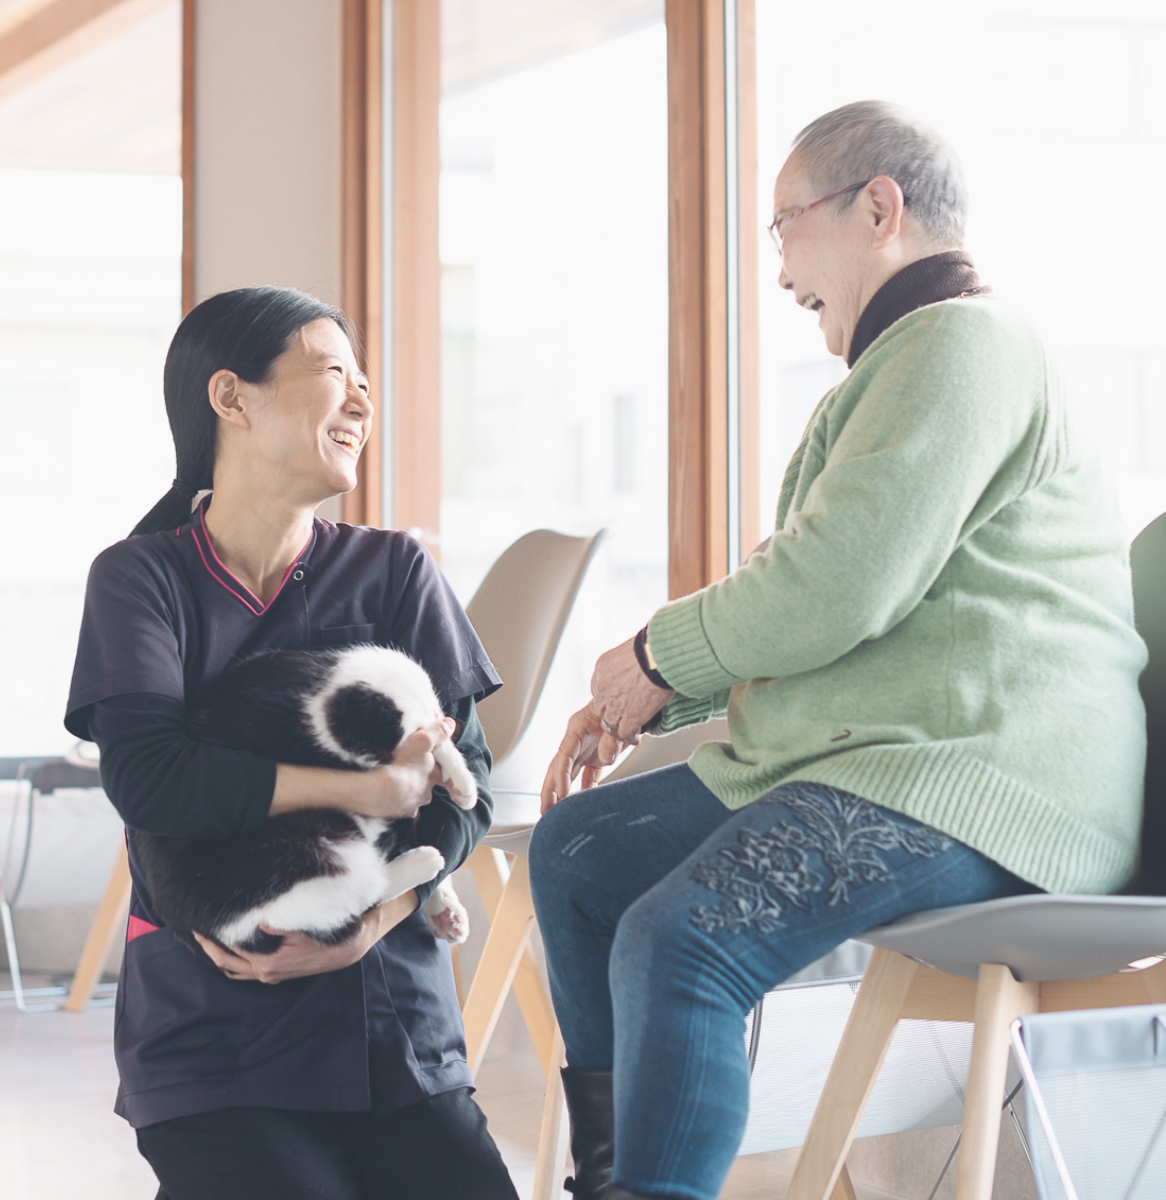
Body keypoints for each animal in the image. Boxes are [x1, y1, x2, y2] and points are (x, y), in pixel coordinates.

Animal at [136, 648, 477, 955]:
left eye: (436, 709)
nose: (446, 718)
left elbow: (439, 744)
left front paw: (461, 781)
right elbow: (431, 745)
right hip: (294, 865)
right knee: (362, 895)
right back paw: (426, 861)